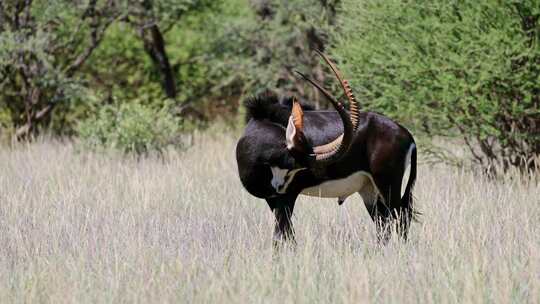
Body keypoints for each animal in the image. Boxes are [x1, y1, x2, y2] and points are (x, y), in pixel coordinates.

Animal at [236, 51, 418, 246]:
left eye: (294, 167)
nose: (278, 187)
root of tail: (406, 133)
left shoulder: (288, 196)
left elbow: (282, 234)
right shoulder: (272, 200)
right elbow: (287, 233)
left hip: (387, 185)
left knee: (400, 219)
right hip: (369, 190)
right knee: (383, 225)